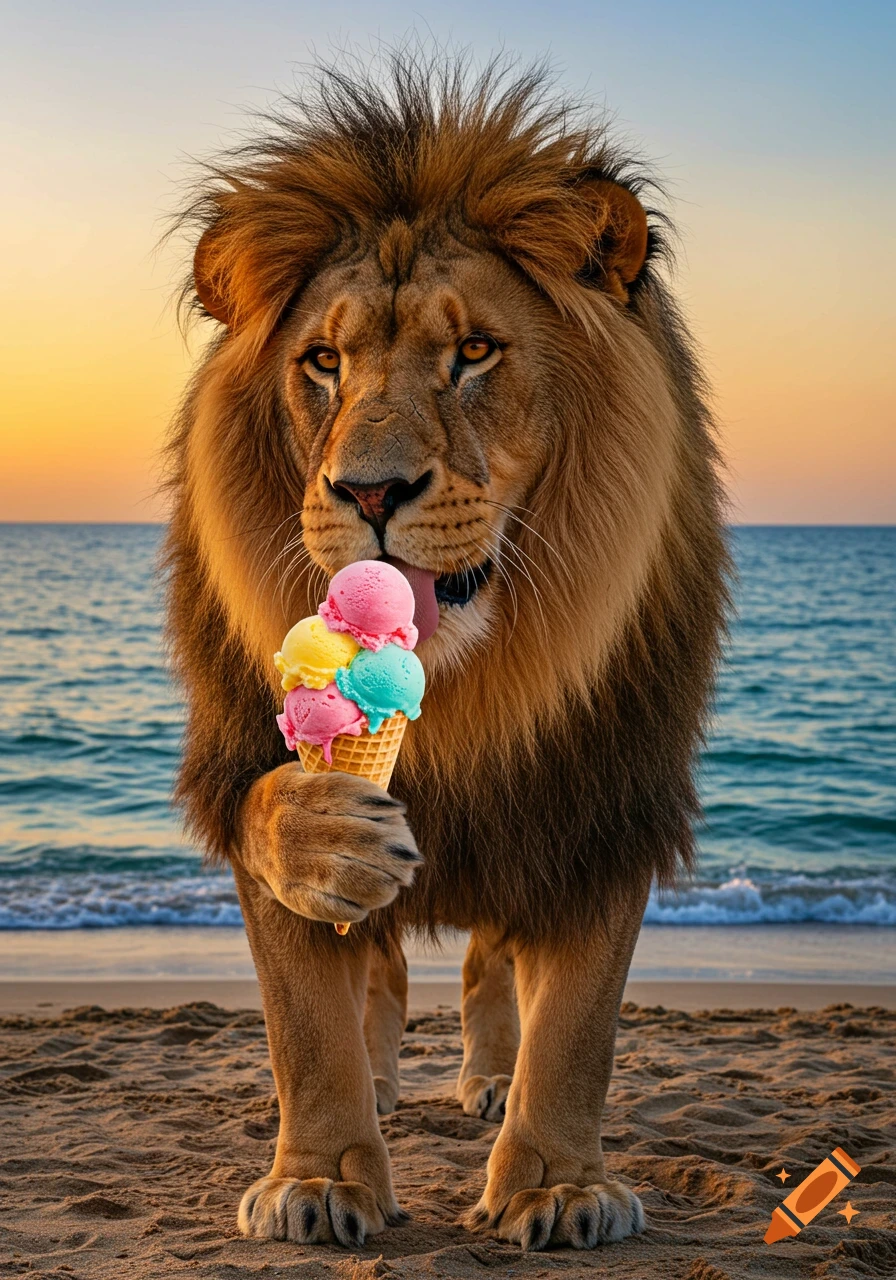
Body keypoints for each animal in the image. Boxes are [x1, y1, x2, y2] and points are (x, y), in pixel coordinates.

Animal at [163, 54, 729, 1253]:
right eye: (322, 363)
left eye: (473, 353)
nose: (370, 492)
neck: (468, 681)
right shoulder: (244, 754)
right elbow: (304, 1018)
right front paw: (318, 1178)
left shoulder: (604, 792)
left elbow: (578, 1026)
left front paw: (557, 1186)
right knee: (374, 973)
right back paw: (381, 1079)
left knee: (488, 960)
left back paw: (487, 1082)